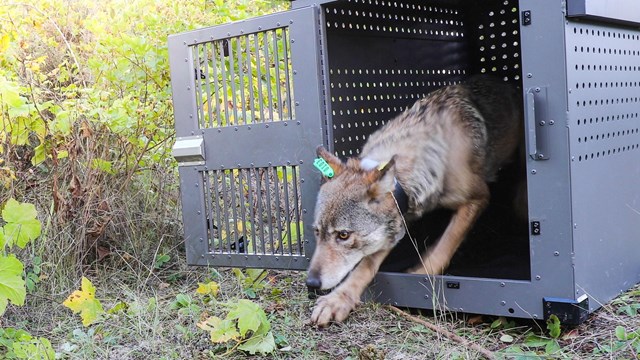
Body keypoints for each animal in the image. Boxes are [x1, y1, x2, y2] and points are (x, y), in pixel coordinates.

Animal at [304, 76, 520, 326]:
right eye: (317, 232)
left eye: (343, 235)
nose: (311, 283)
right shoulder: (397, 222)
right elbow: (365, 265)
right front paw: (338, 299)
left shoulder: (479, 197)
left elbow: (447, 243)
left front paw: (421, 273)